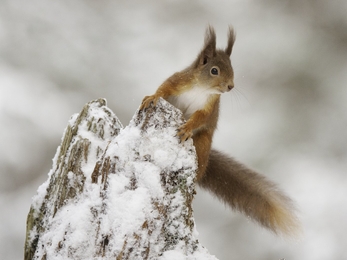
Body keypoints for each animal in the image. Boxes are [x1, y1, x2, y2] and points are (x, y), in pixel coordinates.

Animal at [140, 25, 300, 237]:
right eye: (214, 70)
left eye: (232, 69)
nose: (230, 86)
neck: (202, 88)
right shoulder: (179, 80)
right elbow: (163, 89)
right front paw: (152, 97)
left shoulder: (209, 107)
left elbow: (200, 118)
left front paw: (187, 127)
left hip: (202, 145)